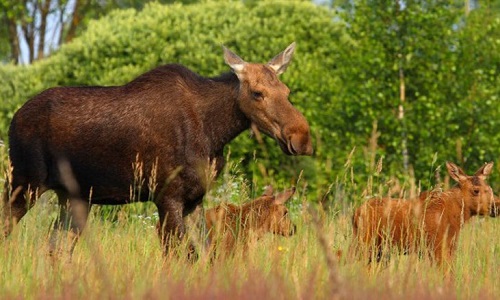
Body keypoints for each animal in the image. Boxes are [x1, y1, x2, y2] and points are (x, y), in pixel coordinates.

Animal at [0, 42, 312, 258]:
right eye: (257, 93)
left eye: (286, 91)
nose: (301, 137)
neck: (214, 132)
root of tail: (14, 119)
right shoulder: (167, 196)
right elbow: (182, 256)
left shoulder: (194, 199)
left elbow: (205, 255)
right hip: (24, 184)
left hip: (73, 196)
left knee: (56, 248)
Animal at [352, 163, 496, 266]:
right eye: (476, 190)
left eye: (489, 188)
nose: (496, 206)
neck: (456, 215)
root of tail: (355, 213)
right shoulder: (437, 247)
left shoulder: (449, 247)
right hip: (365, 243)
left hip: (379, 250)